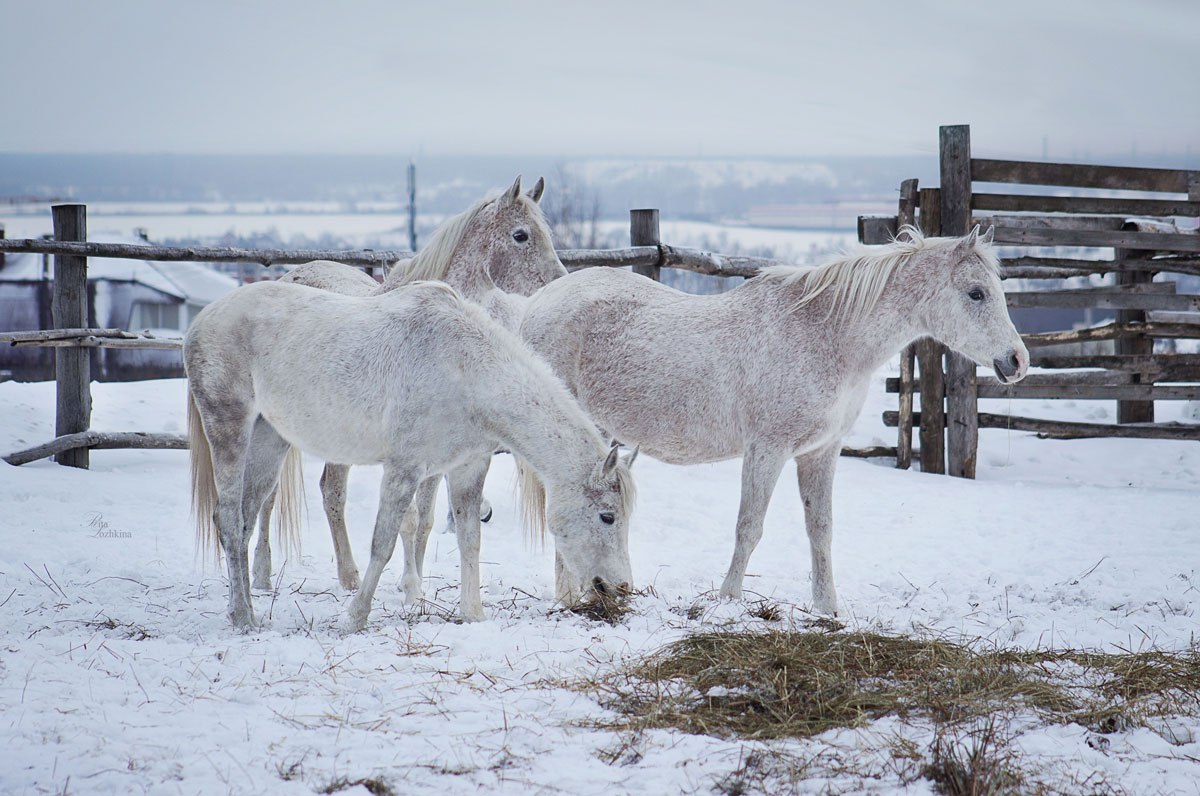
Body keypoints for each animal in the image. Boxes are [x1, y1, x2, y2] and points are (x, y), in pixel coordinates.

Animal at [184, 279, 638, 629]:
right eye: (607, 516)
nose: (621, 588)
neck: (464, 370)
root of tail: (201, 320)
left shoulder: (468, 468)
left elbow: (470, 540)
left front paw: (473, 615)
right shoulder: (403, 469)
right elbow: (383, 543)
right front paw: (356, 617)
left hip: (269, 439)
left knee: (244, 522)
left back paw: (242, 611)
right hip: (229, 429)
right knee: (229, 519)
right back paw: (245, 618)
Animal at [252, 178, 561, 590]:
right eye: (520, 235)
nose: (559, 283)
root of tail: (291, 276)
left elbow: (425, 517)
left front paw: (414, 584)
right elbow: (408, 517)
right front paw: (409, 583)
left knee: (321, 490)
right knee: (283, 495)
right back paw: (275, 573)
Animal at [516, 225, 1032, 614]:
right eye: (976, 293)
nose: (1017, 361)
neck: (826, 336)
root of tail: (537, 304)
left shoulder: (820, 453)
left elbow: (820, 529)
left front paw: (828, 609)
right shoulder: (768, 449)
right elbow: (749, 526)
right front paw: (728, 601)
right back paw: (572, 598)